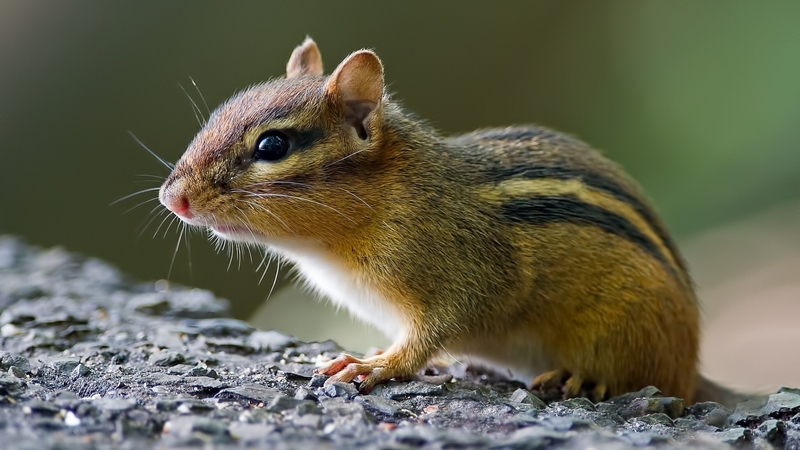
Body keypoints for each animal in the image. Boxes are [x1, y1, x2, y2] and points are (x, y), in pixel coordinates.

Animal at [158, 38, 742, 405]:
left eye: (272, 145)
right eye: (216, 116)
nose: (172, 198)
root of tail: (691, 369)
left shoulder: (466, 276)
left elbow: (433, 333)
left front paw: (378, 366)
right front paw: (377, 351)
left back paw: (581, 380)